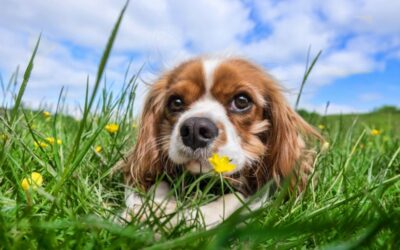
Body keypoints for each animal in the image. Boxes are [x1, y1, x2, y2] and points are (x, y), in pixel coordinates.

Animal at [119, 56, 322, 229]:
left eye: (242, 101)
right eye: (176, 102)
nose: (194, 129)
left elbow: (232, 199)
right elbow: (156, 185)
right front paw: (151, 209)